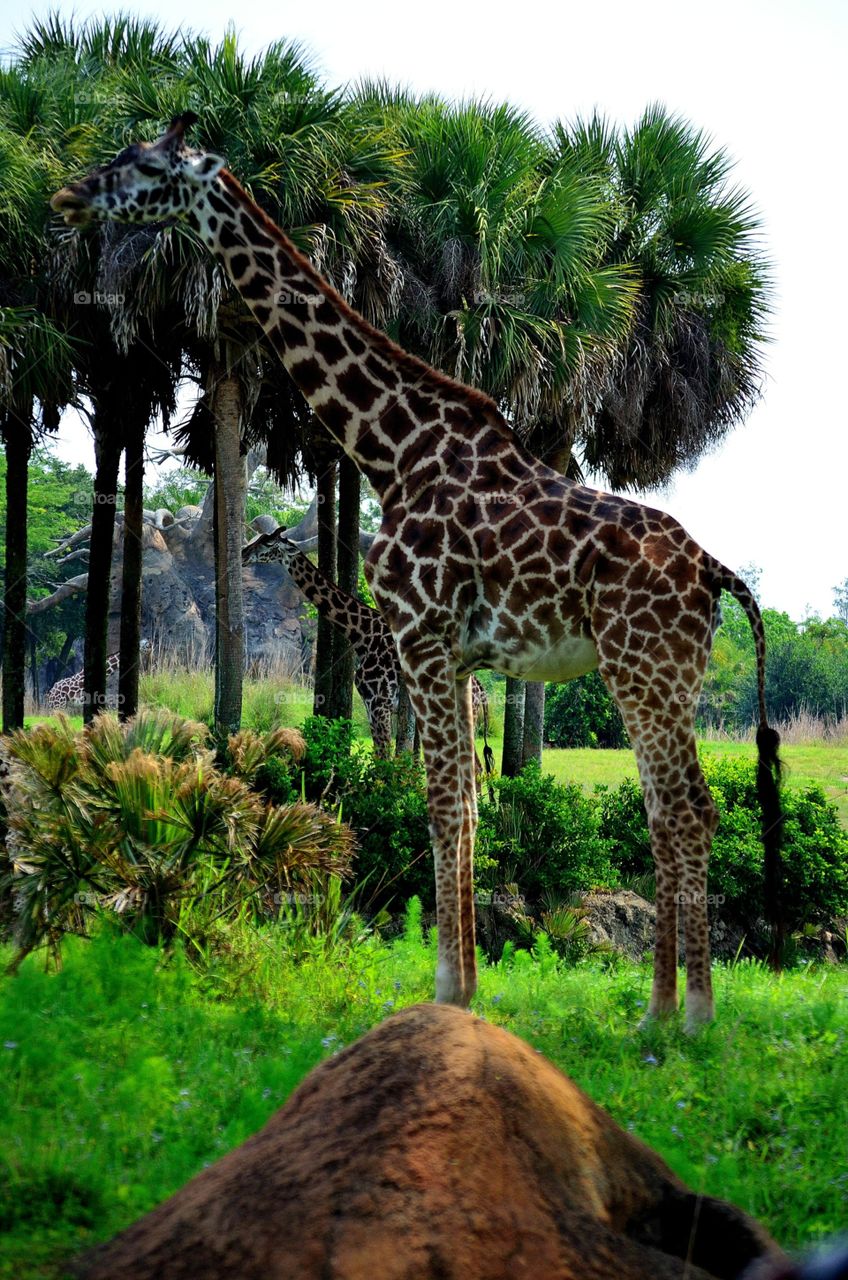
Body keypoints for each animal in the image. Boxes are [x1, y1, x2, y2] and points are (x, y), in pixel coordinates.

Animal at [240, 527, 491, 768]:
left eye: (268, 543)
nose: (243, 554)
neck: (362, 634)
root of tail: (480, 690)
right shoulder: (372, 704)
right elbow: (381, 758)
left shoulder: (380, 703)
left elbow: (383, 759)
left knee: (476, 765)